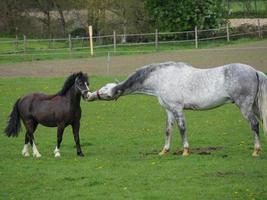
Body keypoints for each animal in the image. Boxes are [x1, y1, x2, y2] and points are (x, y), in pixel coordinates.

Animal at [87, 62, 266, 156]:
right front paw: (164, 151)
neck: (161, 79)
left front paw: (185, 151)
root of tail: (254, 71)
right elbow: (168, 130)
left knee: (254, 124)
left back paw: (256, 151)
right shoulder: (169, 110)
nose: (89, 95)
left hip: (245, 106)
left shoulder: (177, 108)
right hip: (254, 106)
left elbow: (181, 128)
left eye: (104, 91)